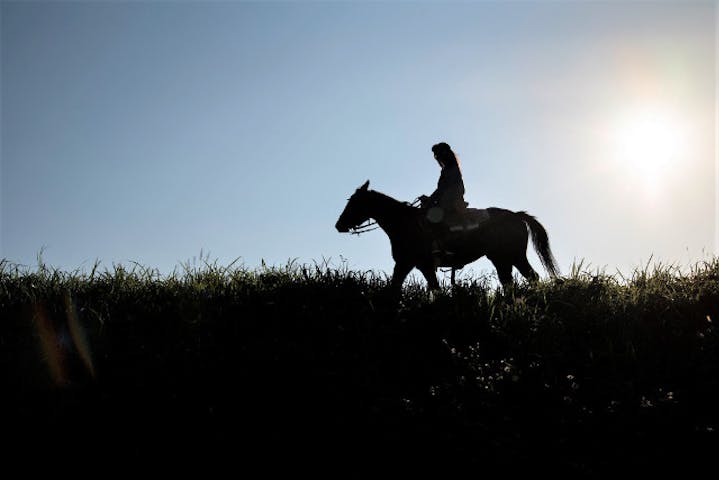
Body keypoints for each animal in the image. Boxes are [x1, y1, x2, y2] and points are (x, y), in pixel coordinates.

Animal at [334, 181, 560, 290]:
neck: (404, 223)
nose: (339, 225)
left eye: (354, 202)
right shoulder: (411, 265)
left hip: (513, 256)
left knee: (529, 278)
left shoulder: (414, 263)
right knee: (511, 282)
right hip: (501, 259)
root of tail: (516, 215)